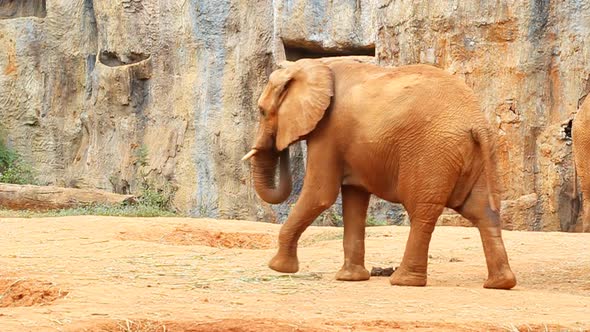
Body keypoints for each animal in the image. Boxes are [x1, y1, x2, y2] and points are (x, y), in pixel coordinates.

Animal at [242, 56, 520, 288]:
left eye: (262, 111)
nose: (281, 146)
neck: (316, 66)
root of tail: (476, 121)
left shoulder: (329, 132)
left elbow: (320, 194)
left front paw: (278, 268)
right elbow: (354, 198)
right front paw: (350, 279)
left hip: (433, 152)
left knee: (422, 212)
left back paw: (404, 281)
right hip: (478, 154)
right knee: (483, 211)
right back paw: (499, 284)